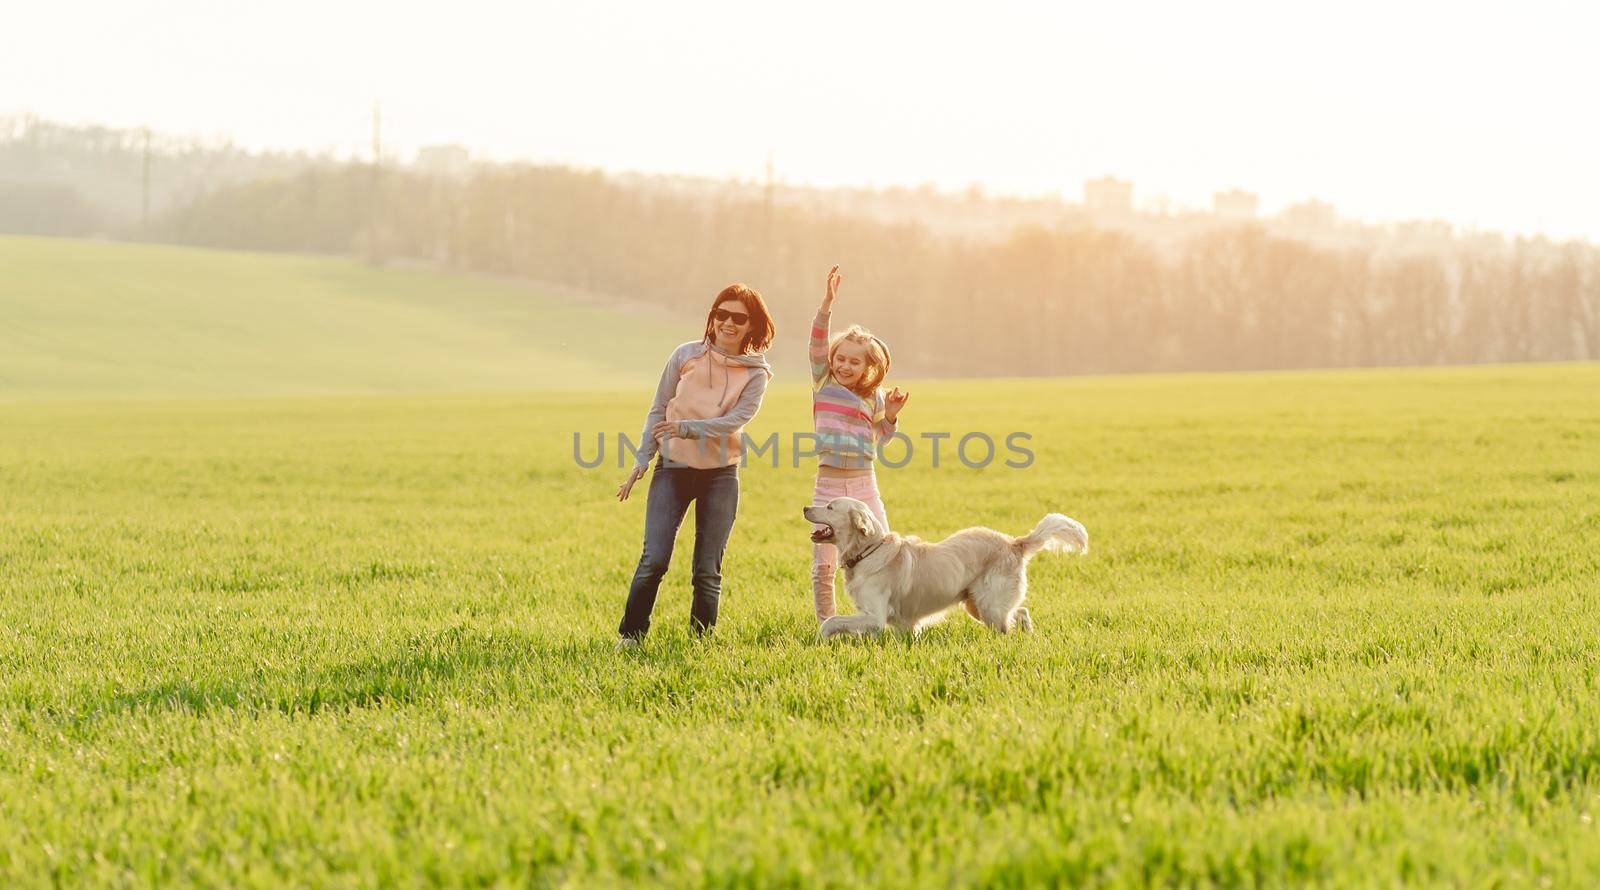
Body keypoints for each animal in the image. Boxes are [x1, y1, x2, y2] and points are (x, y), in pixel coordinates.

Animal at [800, 496, 1088, 637]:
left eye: (830, 507)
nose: (804, 508)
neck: (869, 551)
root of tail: (1014, 543)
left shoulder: (875, 616)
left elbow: (832, 621)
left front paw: (821, 639)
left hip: (989, 605)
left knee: (1008, 624)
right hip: (978, 605)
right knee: (1021, 612)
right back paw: (1027, 634)